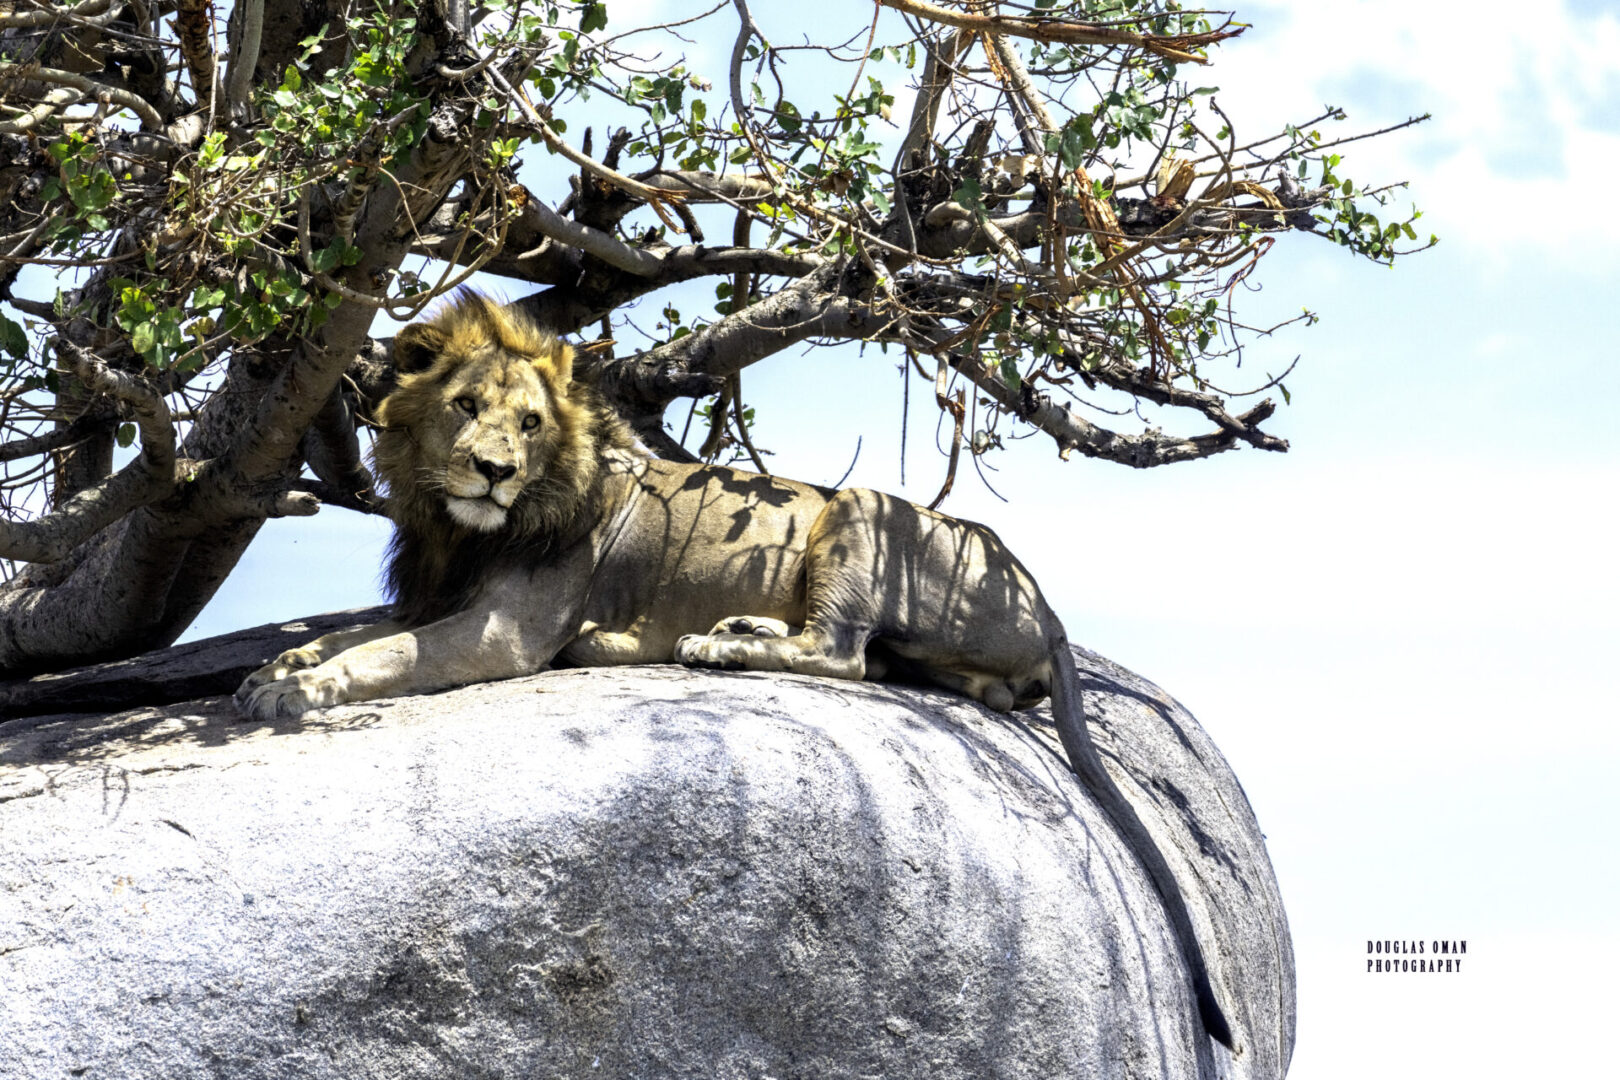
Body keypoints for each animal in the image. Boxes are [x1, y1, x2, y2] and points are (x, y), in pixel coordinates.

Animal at [234, 291, 1231, 1049]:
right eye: (466, 406)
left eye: (529, 423)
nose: (492, 471)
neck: (459, 527)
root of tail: (1050, 608)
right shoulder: (432, 595)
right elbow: (356, 634)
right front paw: (277, 666)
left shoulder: (502, 633)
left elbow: (382, 654)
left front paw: (297, 689)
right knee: (895, 664)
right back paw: (731, 628)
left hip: (859, 506)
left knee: (844, 654)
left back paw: (711, 643)